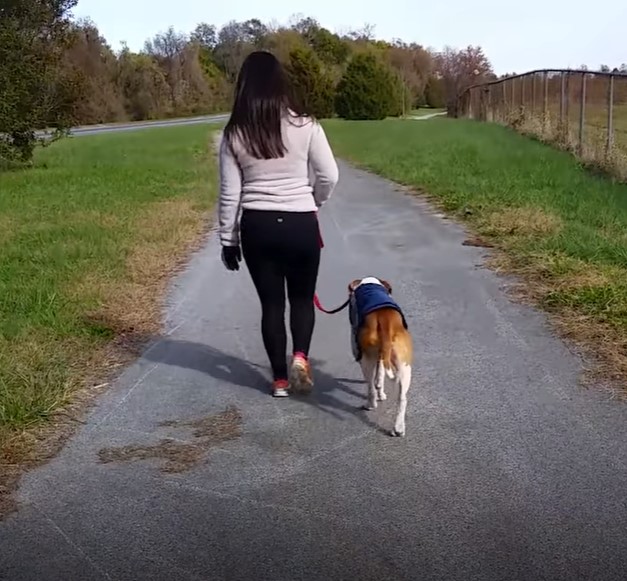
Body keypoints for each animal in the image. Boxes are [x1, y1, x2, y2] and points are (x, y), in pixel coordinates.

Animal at [348, 276, 412, 436]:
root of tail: (385, 320)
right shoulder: (383, 357)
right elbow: (381, 373)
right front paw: (381, 392)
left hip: (367, 359)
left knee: (370, 385)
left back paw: (370, 404)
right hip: (405, 367)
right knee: (402, 399)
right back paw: (399, 428)